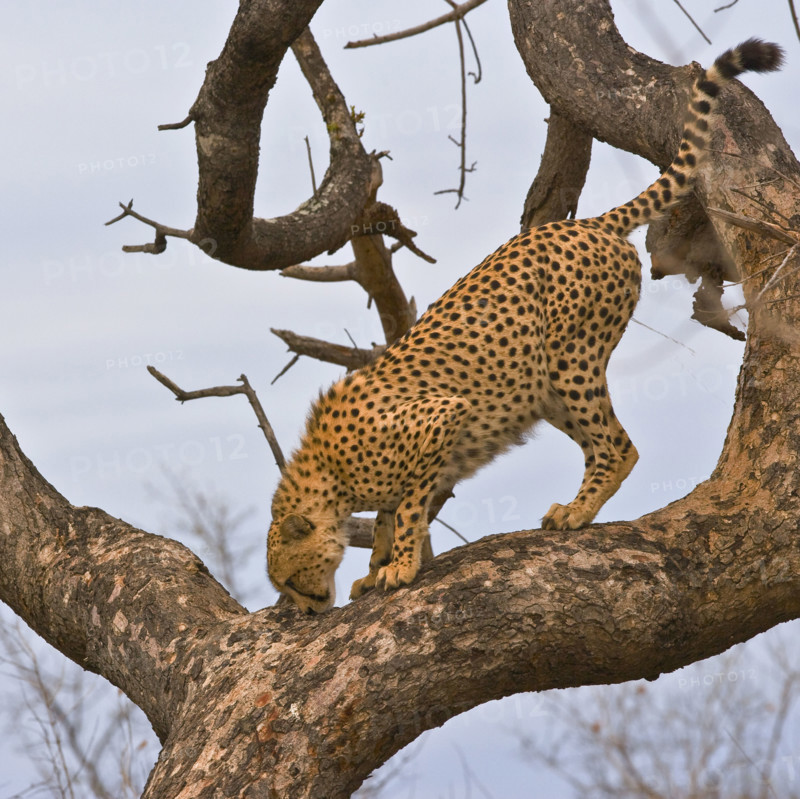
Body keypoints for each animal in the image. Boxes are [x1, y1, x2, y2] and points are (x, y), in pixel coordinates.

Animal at [267, 39, 783, 613]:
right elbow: (387, 513)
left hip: (570, 360)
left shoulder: (440, 417)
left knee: (618, 445)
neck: (329, 474)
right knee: (602, 442)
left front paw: (398, 565)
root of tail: (586, 223)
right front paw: (377, 566)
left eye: (290, 579)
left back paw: (577, 511)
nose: (305, 610)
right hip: (541, 388)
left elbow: (407, 507)